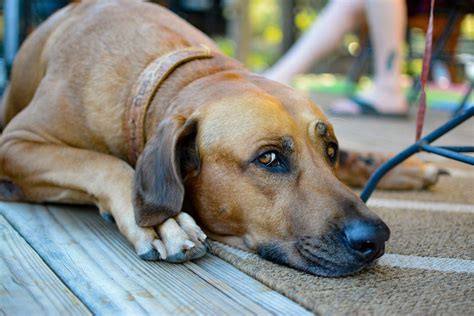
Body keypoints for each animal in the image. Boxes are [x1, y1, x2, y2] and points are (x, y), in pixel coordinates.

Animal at [0, 0, 436, 276]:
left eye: (330, 150)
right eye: (268, 158)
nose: (375, 239)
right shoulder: (14, 143)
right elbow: (105, 163)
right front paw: (164, 222)